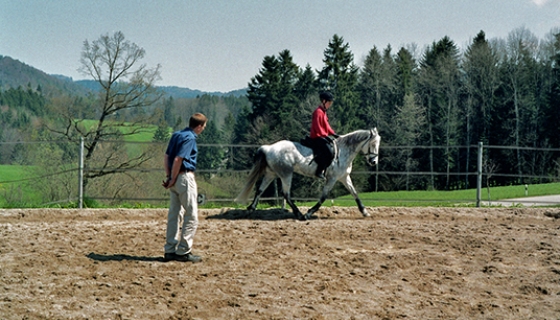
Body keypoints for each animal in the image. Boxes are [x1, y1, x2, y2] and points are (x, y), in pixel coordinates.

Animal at [236, 127, 380, 220]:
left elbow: (354, 193)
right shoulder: (332, 178)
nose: (374, 162)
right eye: (373, 144)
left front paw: (365, 212)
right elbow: (323, 197)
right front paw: (309, 213)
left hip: (271, 173)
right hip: (286, 174)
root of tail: (268, 148)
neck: (343, 151)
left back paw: (250, 209)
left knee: (260, 190)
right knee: (286, 194)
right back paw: (299, 214)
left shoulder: (344, 177)